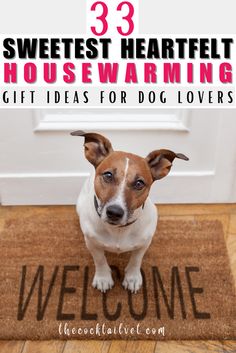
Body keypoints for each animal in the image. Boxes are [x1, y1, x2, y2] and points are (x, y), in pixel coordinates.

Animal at [71, 131, 189, 292]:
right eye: (108, 175)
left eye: (139, 183)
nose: (114, 212)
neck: (118, 230)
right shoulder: (92, 243)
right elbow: (100, 259)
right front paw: (103, 278)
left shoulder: (144, 243)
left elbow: (136, 260)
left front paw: (132, 278)